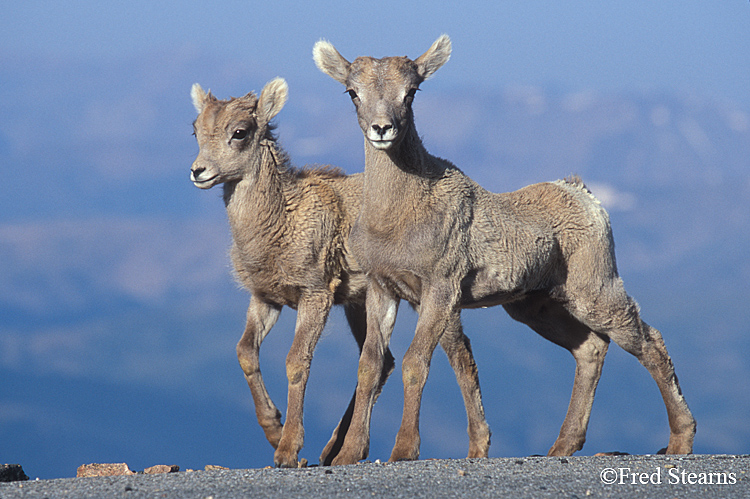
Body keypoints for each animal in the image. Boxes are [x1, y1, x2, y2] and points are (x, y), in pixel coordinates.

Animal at [313, 35, 696, 465]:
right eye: (352, 92)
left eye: (411, 92)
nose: (382, 129)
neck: (398, 216)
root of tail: (584, 196)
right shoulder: (383, 289)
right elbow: (370, 367)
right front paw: (347, 455)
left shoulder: (440, 290)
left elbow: (415, 363)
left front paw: (404, 451)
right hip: (535, 306)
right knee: (591, 348)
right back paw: (561, 447)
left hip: (595, 293)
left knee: (649, 342)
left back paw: (680, 442)